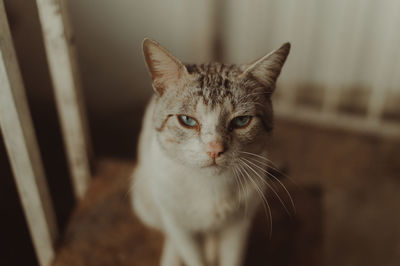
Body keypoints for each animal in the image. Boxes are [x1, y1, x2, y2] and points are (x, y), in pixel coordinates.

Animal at [131, 38, 290, 266]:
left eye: (241, 121)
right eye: (187, 120)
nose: (214, 149)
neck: (211, 188)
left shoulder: (239, 226)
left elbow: (231, 258)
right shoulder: (179, 225)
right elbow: (192, 256)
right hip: (146, 202)